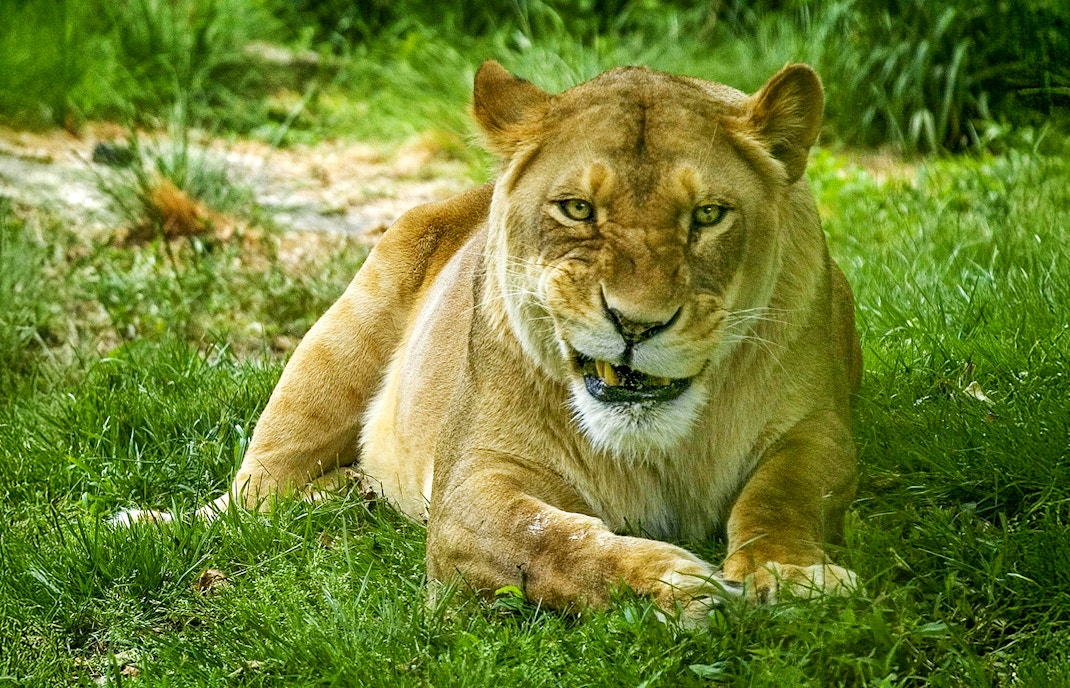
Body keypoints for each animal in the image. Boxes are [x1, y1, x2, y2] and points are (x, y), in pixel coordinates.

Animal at [116, 60, 863, 625]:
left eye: (707, 215)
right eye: (577, 209)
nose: (635, 324)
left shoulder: (820, 428)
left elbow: (781, 496)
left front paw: (791, 574)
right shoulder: (470, 484)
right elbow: (548, 541)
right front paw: (671, 586)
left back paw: (354, 495)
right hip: (331, 349)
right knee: (249, 501)